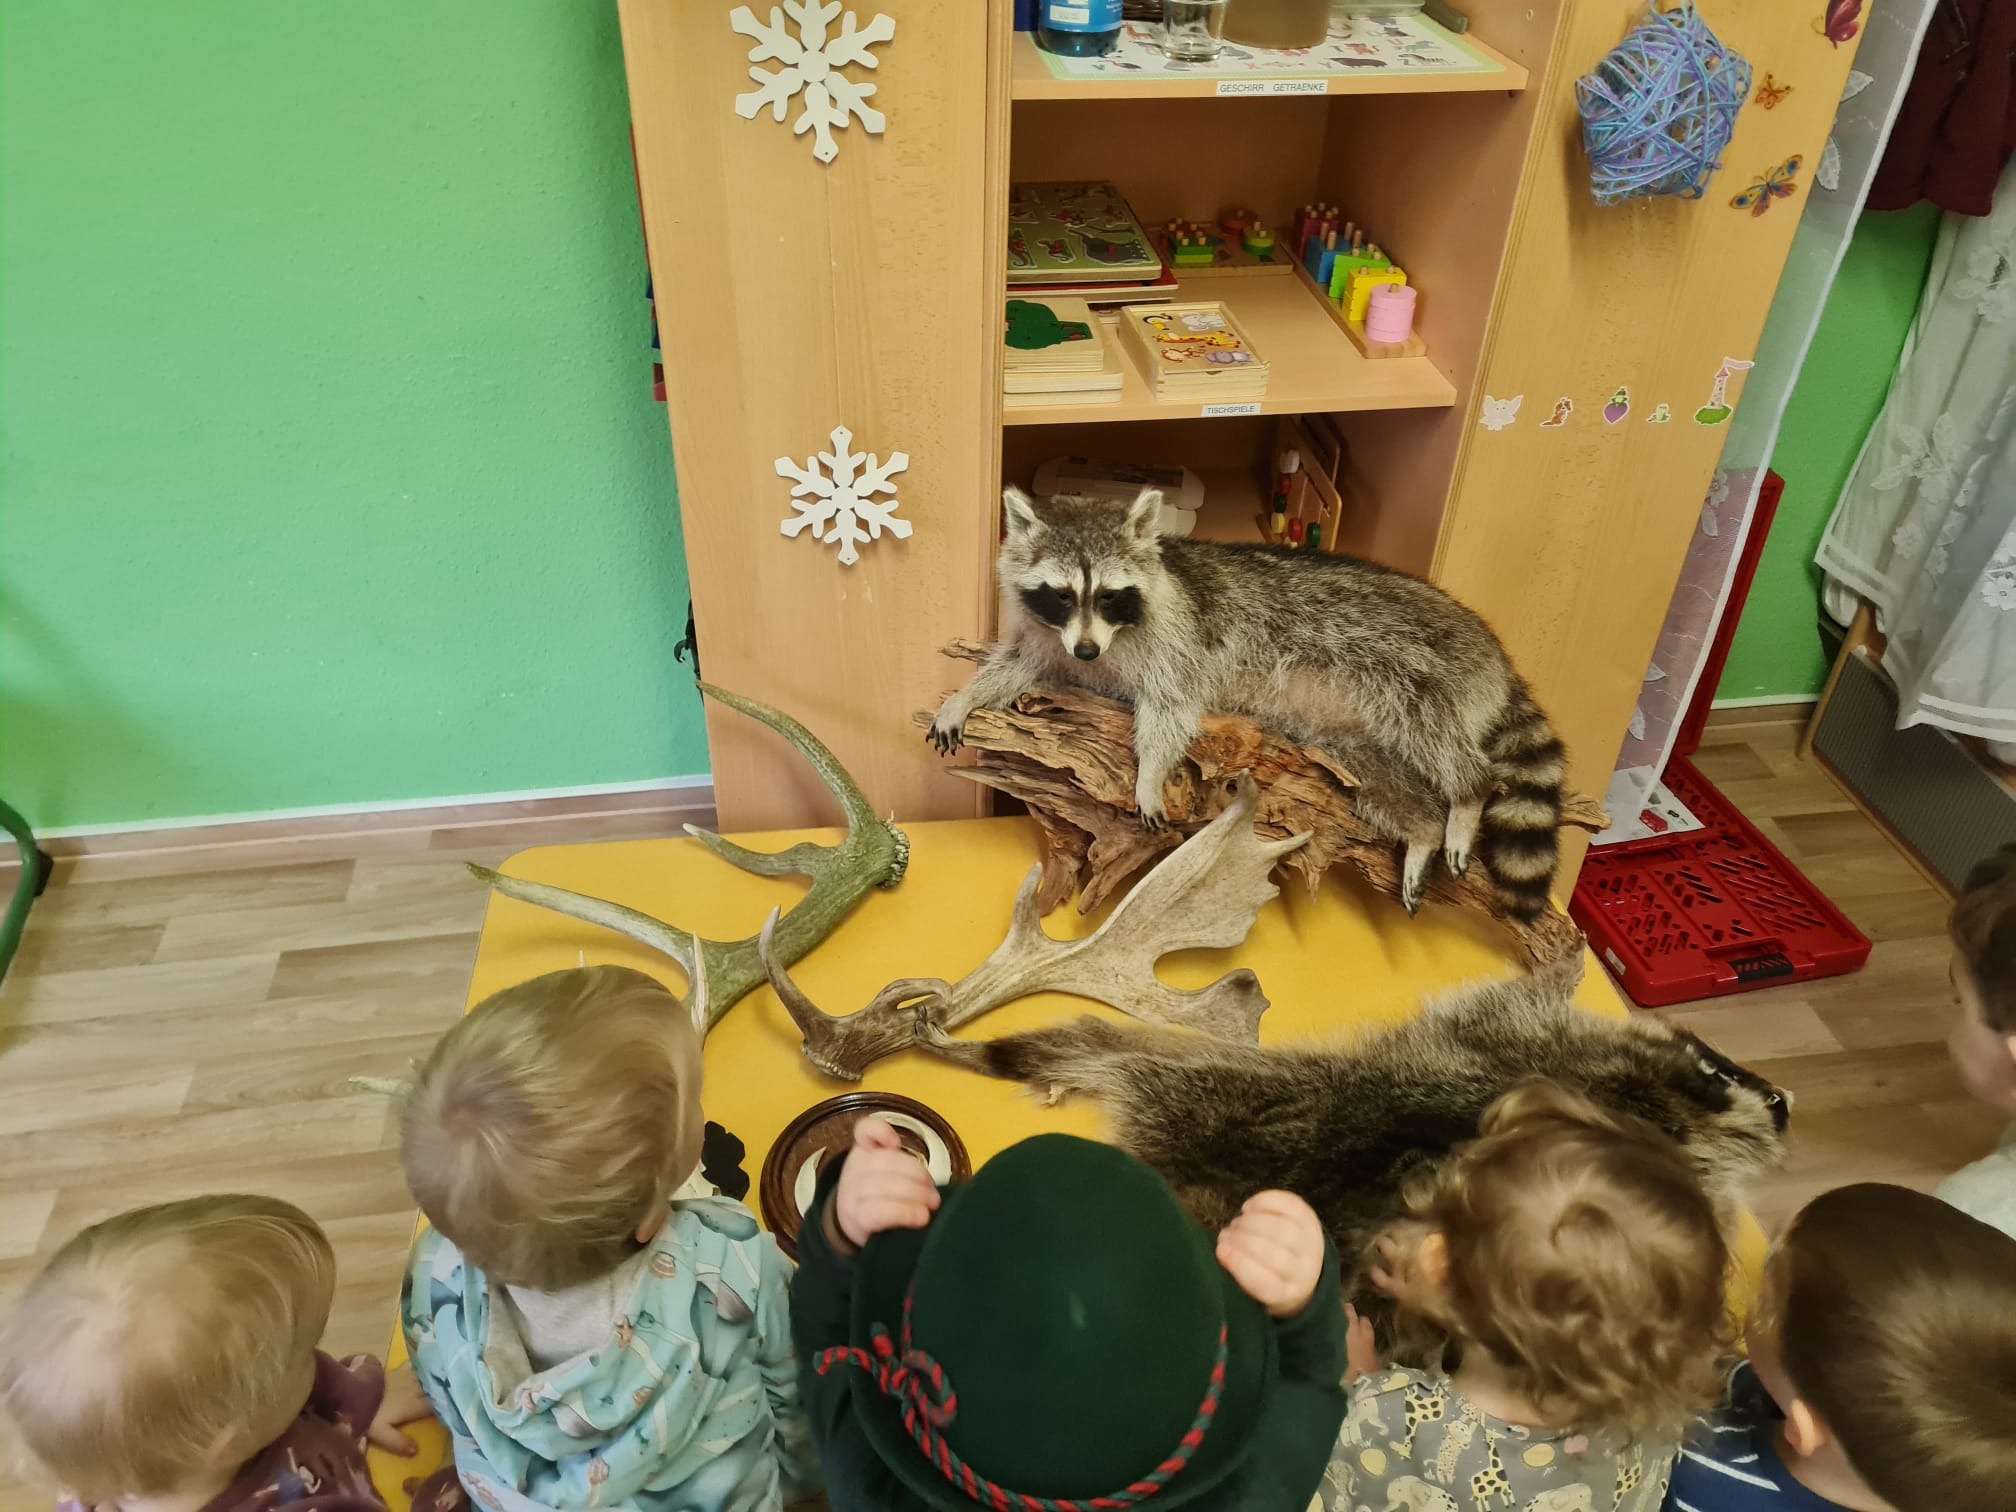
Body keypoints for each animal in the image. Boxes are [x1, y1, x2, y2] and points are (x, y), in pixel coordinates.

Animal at [923, 975, 1790, 1306]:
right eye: (1760, 1085)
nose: (1787, 1101)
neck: (1668, 1107)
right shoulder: (1525, 1040)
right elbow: (1503, 1003)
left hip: (1235, 1090)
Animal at [931, 491, 1572, 931]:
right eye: (1062, 595)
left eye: (1109, 595)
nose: (1087, 652)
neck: (1103, 639)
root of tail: (1492, 650)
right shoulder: (1049, 634)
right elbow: (1018, 665)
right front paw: (964, 698)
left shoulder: (1178, 644)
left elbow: (1172, 708)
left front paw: (1150, 773)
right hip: (1350, 733)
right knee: (1379, 779)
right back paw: (1424, 830)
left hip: (1411, 668)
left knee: (1430, 730)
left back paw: (1468, 795)